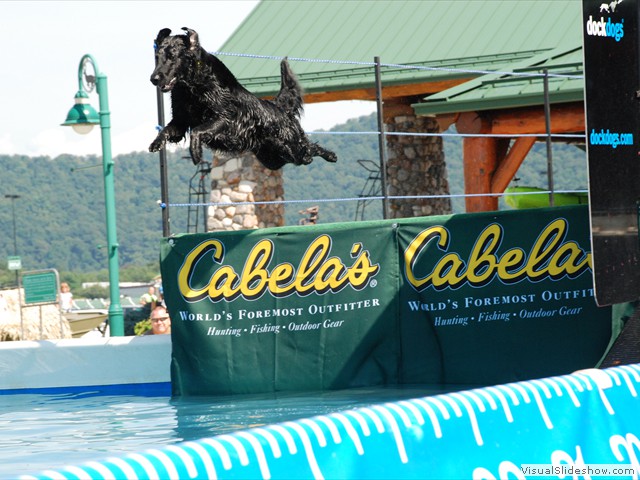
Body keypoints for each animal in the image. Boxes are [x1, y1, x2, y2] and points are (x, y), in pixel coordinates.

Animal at [148, 28, 338, 170]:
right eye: (157, 57)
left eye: (172, 56)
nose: (153, 79)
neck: (192, 87)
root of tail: (279, 107)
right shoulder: (181, 121)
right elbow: (167, 130)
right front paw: (156, 143)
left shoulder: (224, 118)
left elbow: (197, 131)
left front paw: (196, 153)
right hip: (274, 159)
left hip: (292, 148)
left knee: (310, 149)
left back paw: (331, 155)